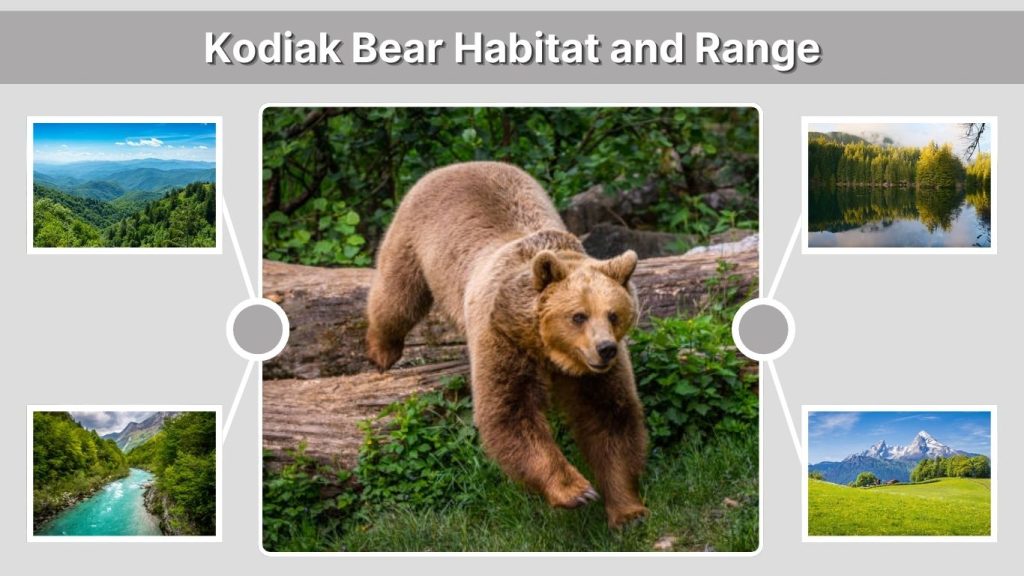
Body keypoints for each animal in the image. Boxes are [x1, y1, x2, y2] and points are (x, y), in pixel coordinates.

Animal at [365, 161, 649, 528]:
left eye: (613, 314)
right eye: (578, 316)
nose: (605, 349)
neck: (549, 350)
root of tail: (458, 165)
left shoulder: (594, 375)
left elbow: (610, 417)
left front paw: (628, 511)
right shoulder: (503, 339)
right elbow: (509, 413)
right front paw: (576, 490)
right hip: (413, 236)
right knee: (397, 296)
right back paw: (381, 351)